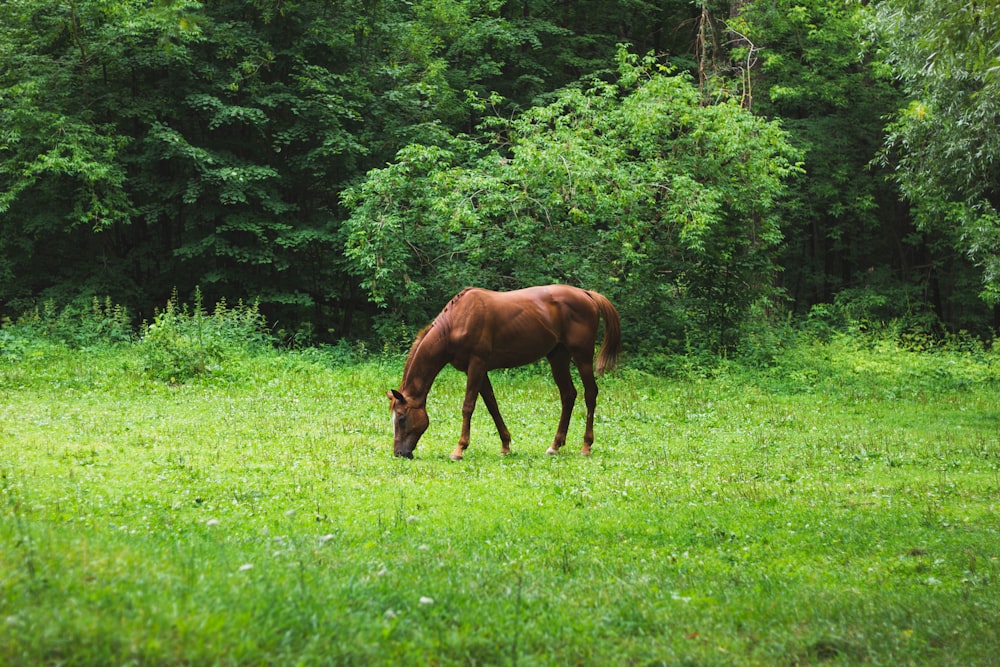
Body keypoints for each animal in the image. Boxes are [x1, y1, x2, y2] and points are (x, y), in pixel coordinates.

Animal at [388, 284, 616, 462]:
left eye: (401, 418)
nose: (399, 453)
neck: (456, 322)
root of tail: (587, 294)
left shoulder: (477, 365)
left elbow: (468, 407)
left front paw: (459, 449)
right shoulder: (478, 370)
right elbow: (492, 405)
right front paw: (505, 445)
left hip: (582, 356)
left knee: (590, 394)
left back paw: (586, 446)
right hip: (558, 357)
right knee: (568, 395)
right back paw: (555, 446)